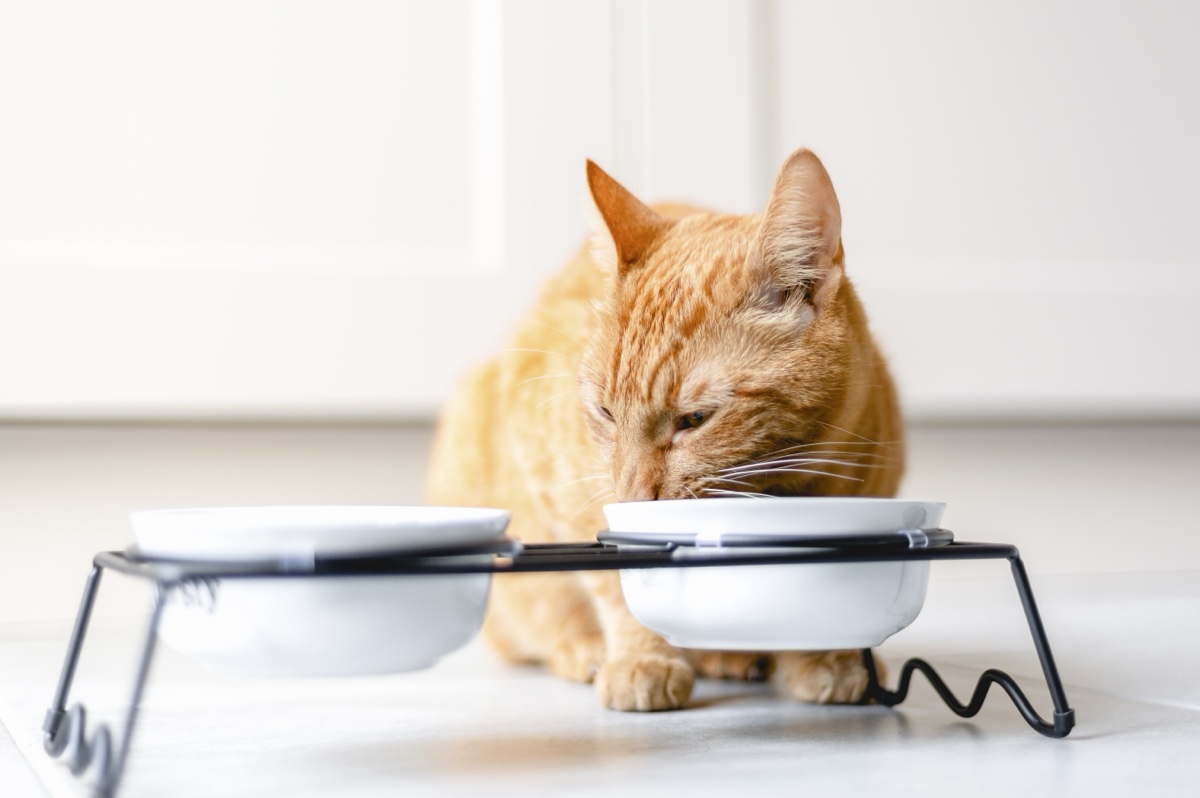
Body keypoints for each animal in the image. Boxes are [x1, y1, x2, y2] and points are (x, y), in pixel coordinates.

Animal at [427, 149, 902, 710]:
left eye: (694, 419)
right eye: (607, 413)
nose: (634, 494)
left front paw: (830, 654)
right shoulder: (568, 489)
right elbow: (618, 583)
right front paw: (642, 660)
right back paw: (587, 649)